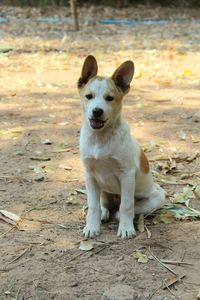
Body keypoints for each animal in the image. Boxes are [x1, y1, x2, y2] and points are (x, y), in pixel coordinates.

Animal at [77, 55, 165, 238]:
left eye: (109, 98)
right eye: (89, 96)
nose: (97, 111)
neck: (101, 138)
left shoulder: (127, 174)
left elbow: (126, 205)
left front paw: (126, 228)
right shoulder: (89, 175)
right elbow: (93, 205)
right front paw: (92, 226)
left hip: (158, 196)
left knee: (124, 209)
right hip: (101, 187)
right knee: (103, 204)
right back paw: (104, 213)